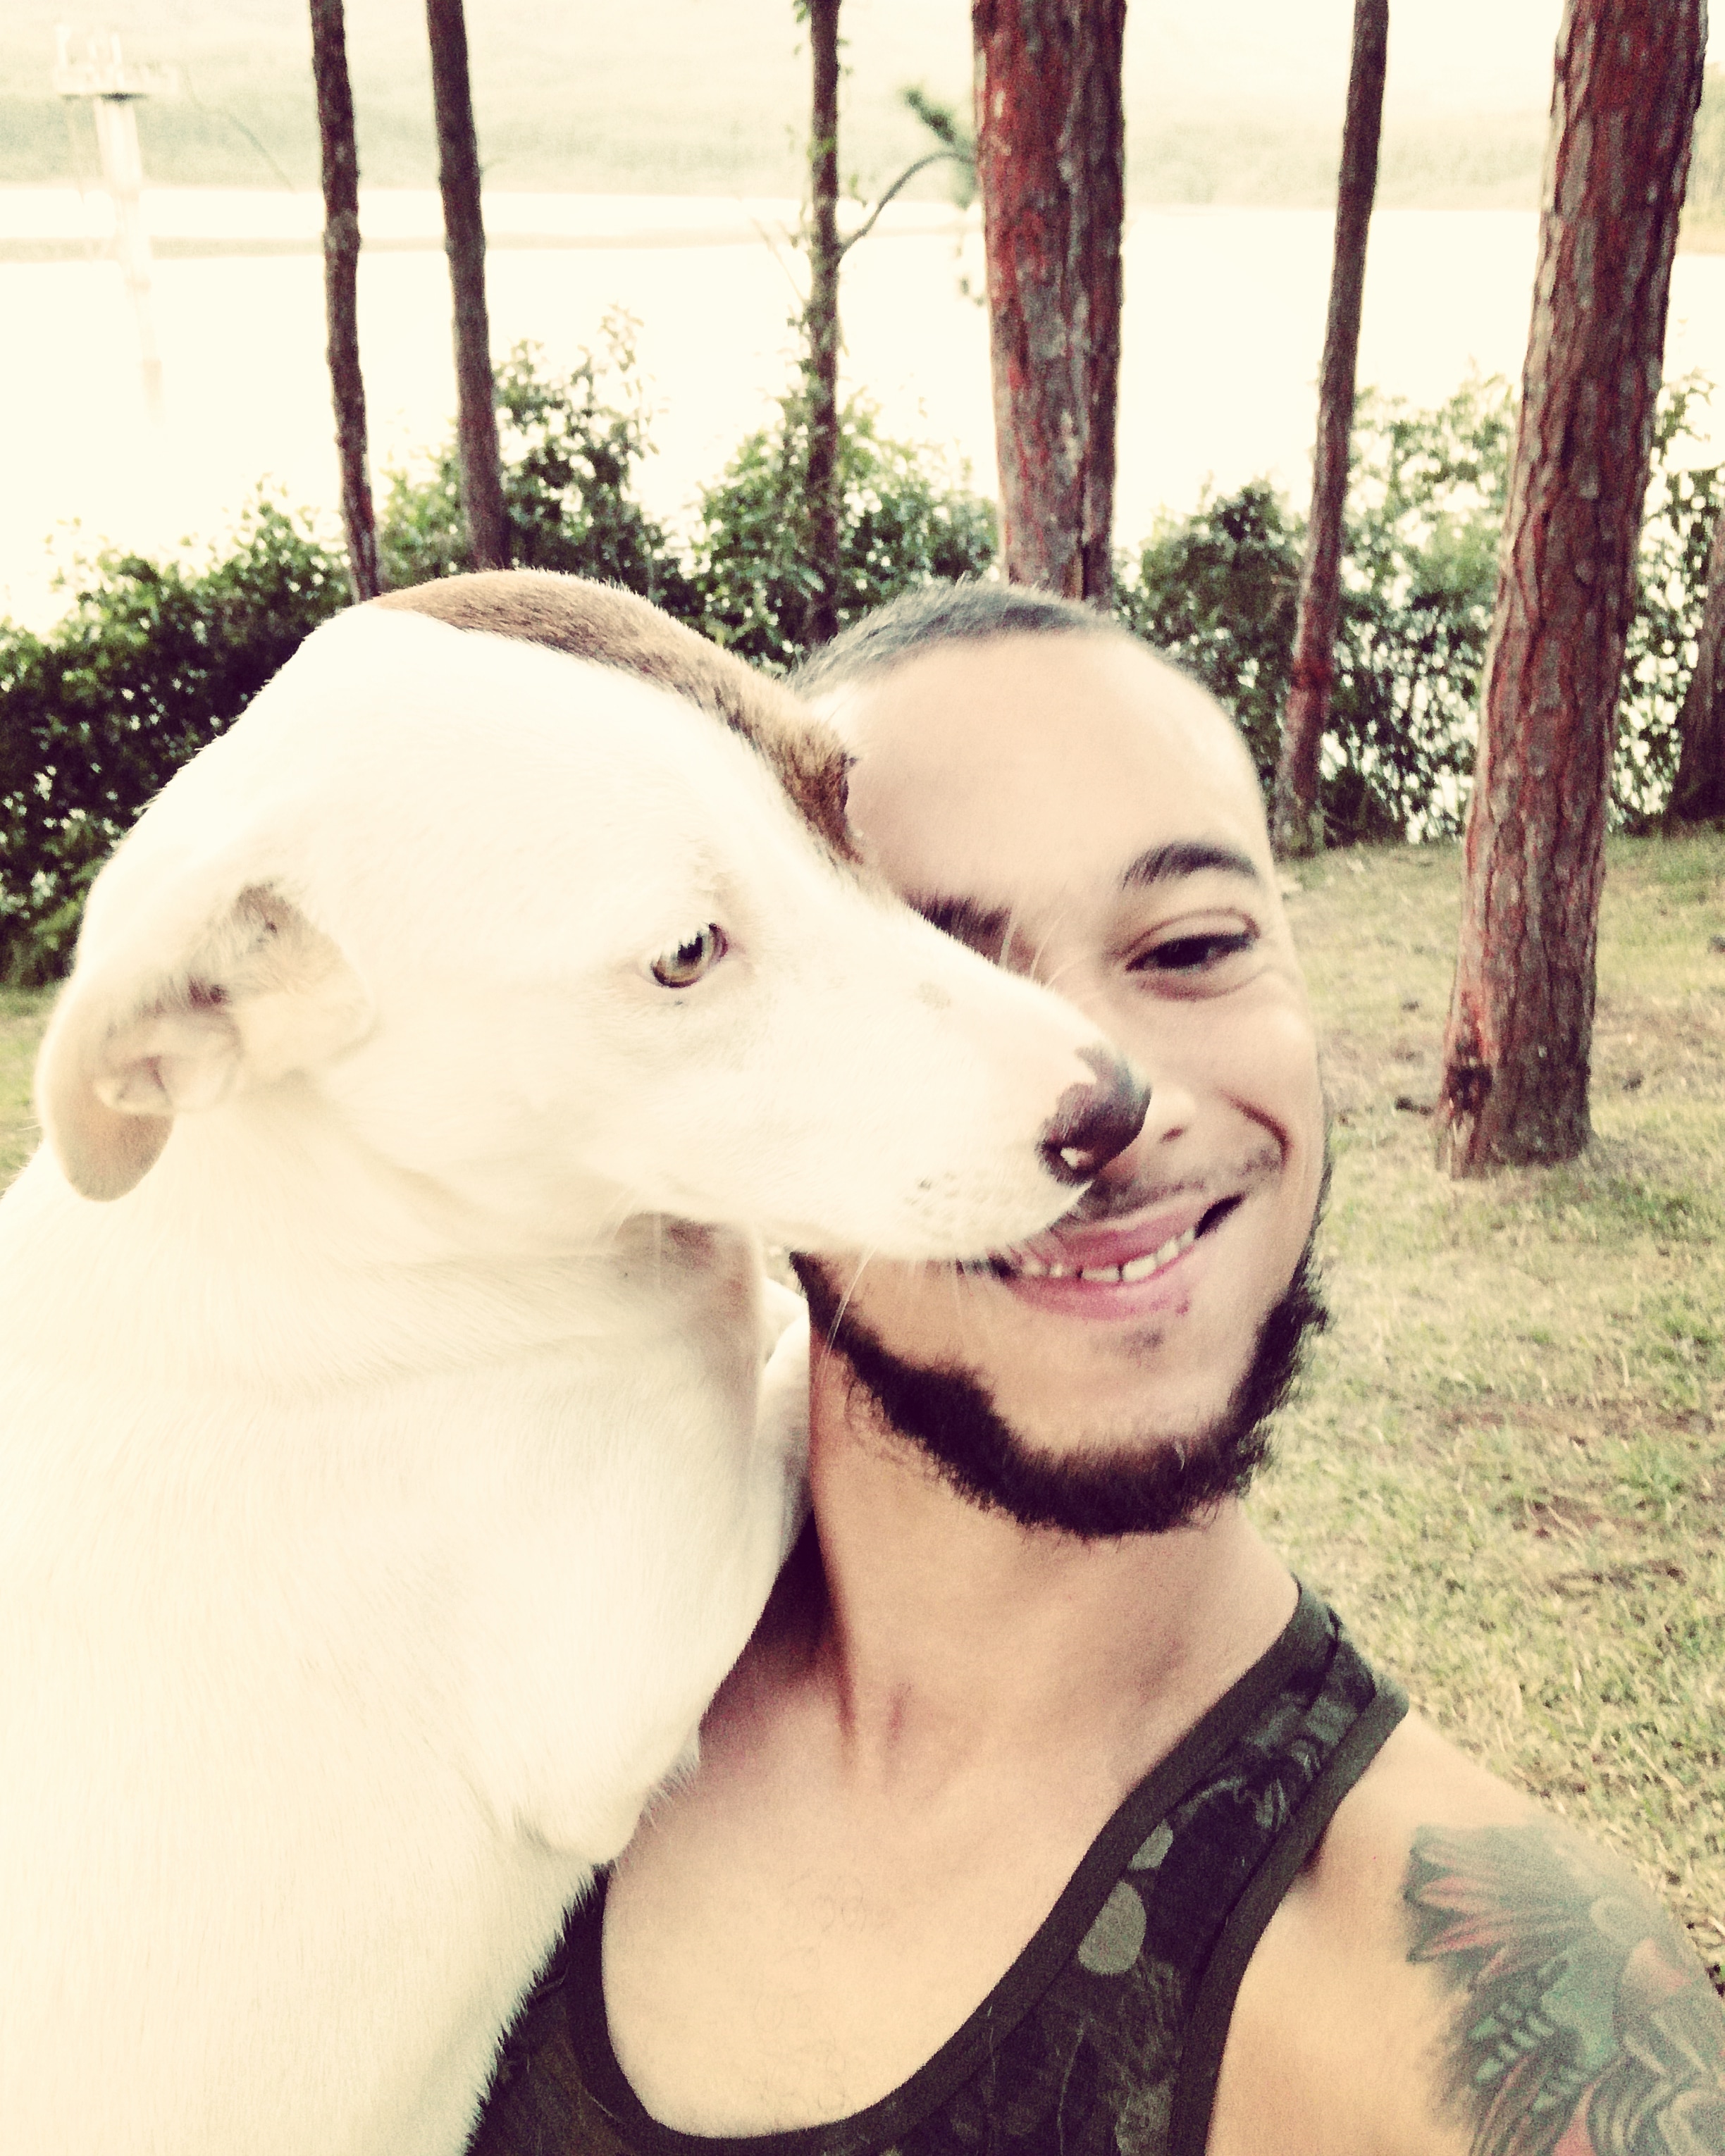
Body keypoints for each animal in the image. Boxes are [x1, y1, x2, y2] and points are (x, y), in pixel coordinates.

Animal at [0, 572, 1147, 2155]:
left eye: (839, 797)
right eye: (685, 956)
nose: (1117, 1108)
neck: (368, 1231)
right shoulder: (630, 1660)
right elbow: (766, 1354)